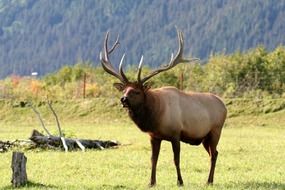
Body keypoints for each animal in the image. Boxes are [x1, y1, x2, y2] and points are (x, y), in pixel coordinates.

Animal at [99, 29, 226, 187]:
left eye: (137, 91)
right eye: (124, 90)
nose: (123, 99)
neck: (156, 116)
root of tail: (224, 105)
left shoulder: (176, 134)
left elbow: (176, 159)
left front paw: (180, 182)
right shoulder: (154, 136)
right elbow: (153, 159)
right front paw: (151, 182)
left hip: (216, 130)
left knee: (214, 154)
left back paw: (209, 181)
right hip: (205, 137)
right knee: (214, 153)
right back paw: (210, 180)